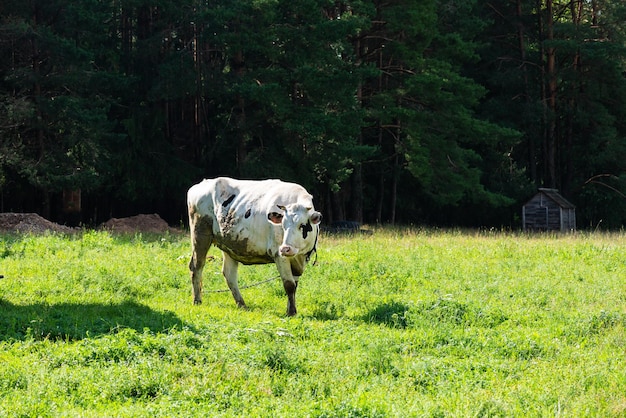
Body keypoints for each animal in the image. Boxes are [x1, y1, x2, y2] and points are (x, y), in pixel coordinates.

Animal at [186, 175, 322, 316]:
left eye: (302, 225)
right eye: (283, 225)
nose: (285, 249)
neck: (300, 255)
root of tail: (201, 184)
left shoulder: (300, 260)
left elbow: (294, 285)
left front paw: (291, 309)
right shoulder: (279, 256)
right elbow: (289, 285)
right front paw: (291, 312)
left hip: (228, 243)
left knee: (229, 274)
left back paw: (241, 304)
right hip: (200, 235)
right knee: (196, 266)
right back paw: (197, 300)